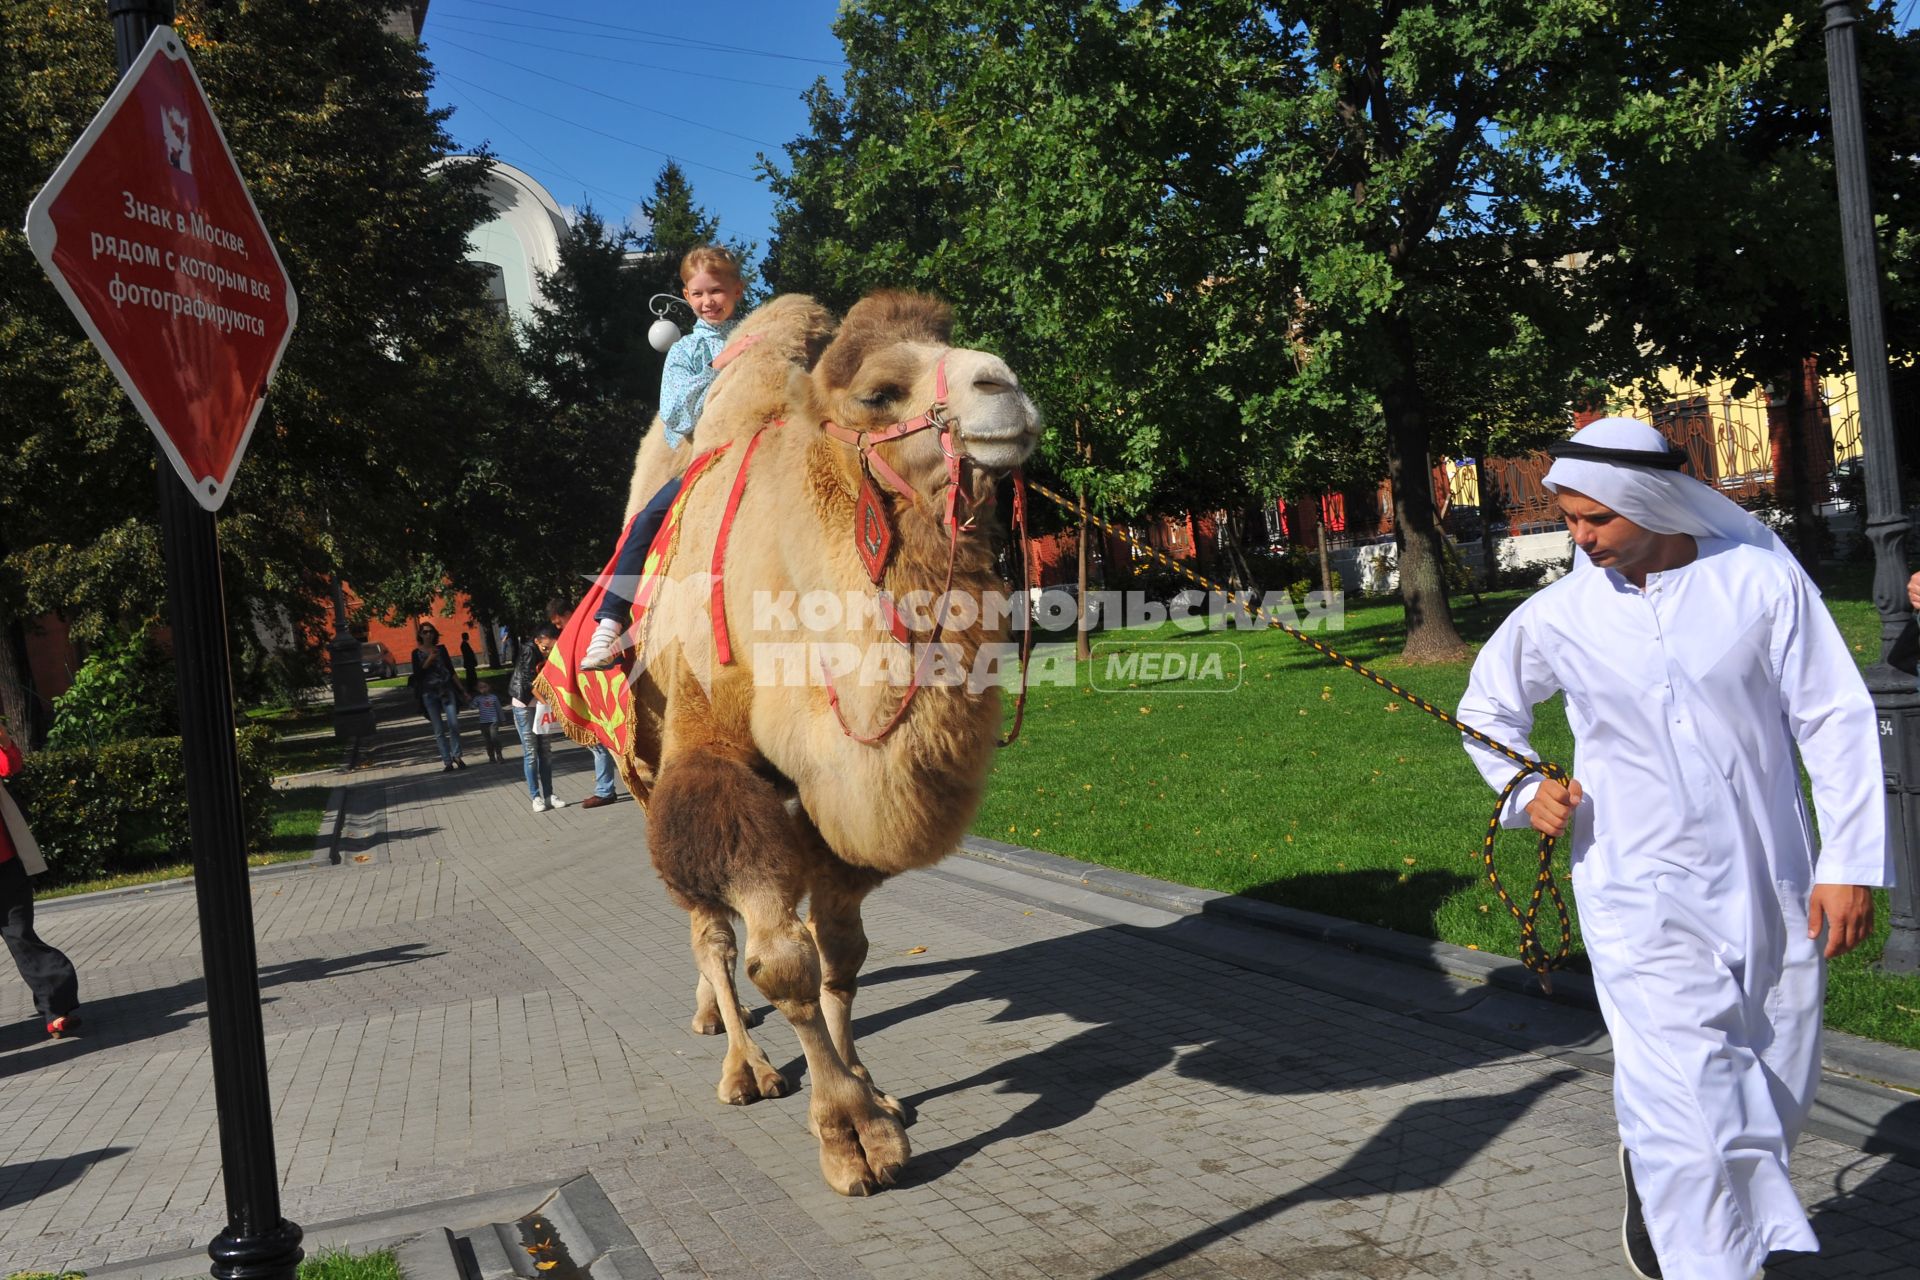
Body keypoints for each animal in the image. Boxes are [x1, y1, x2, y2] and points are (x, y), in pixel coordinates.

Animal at [591, 289, 1036, 1189]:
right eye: (879, 393)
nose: (1004, 386)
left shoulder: (835, 794)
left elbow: (842, 954)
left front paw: (871, 1087)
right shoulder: (712, 751)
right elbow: (782, 961)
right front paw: (851, 1134)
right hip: (645, 771)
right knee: (710, 930)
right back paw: (743, 1067)